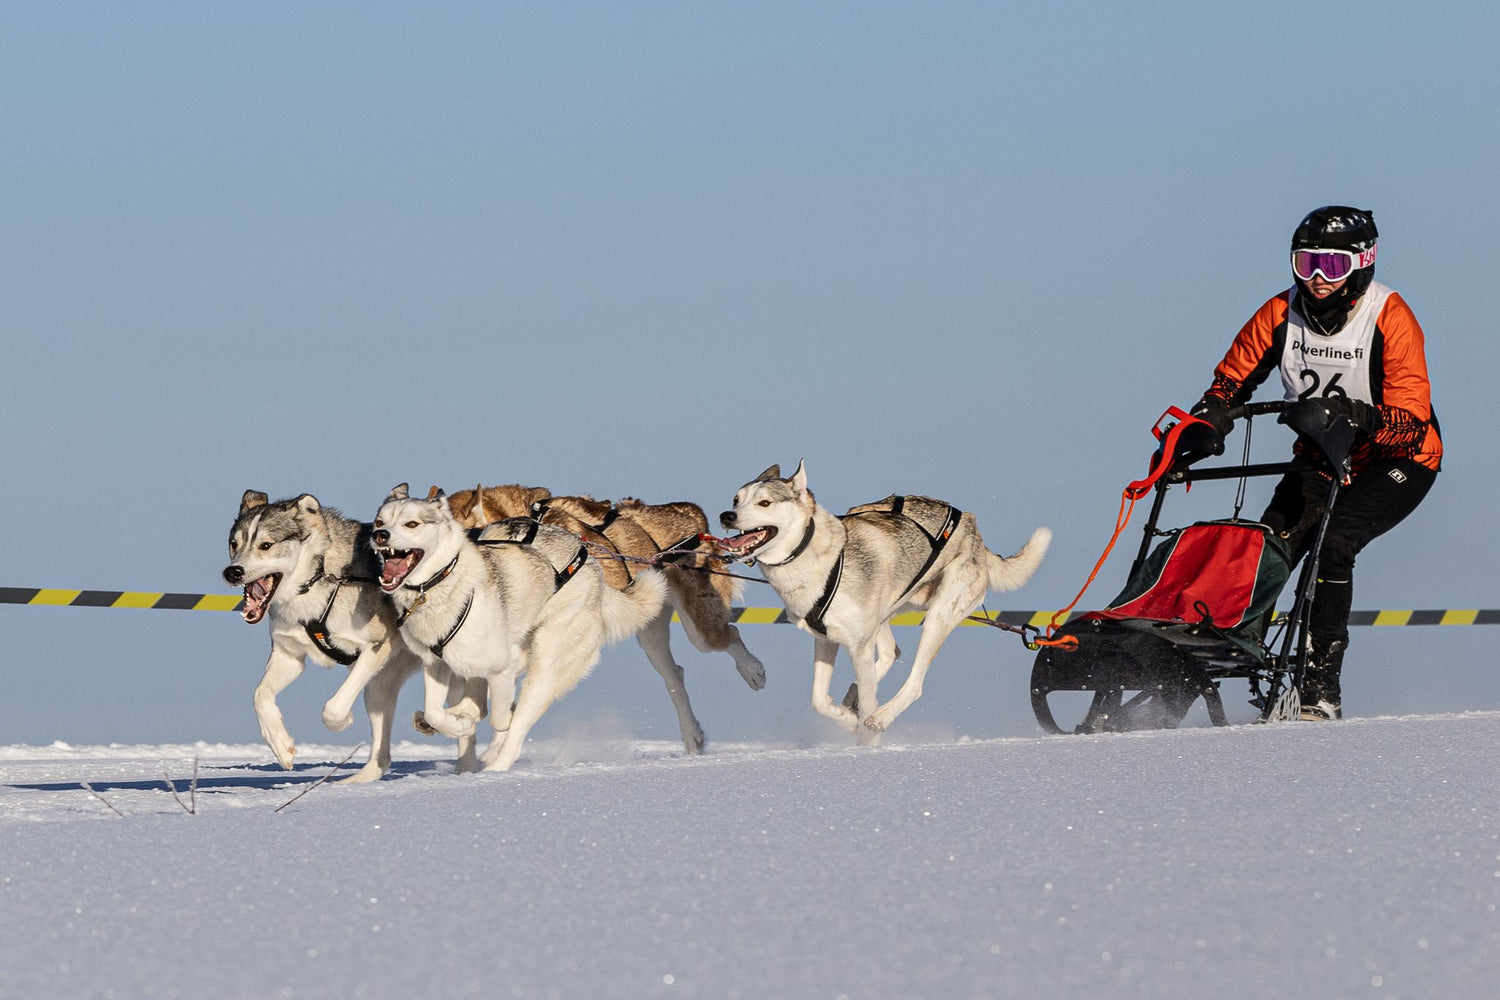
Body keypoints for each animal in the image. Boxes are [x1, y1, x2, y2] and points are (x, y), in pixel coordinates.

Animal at [217, 491, 471, 779]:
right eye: (234, 544)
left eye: (266, 545)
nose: (233, 572)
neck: (319, 577)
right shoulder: (289, 654)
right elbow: (260, 695)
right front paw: (280, 745)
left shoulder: (377, 646)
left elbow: (333, 707)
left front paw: (342, 720)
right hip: (379, 688)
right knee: (383, 753)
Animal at [372, 485, 666, 773]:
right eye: (380, 521)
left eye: (412, 524)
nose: (380, 535)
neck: (440, 585)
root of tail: (590, 563)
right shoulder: (437, 664)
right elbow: (437, 711)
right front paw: (455, 724)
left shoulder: (501, 668)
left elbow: (501, 720)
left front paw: (475, 729)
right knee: (475, 705)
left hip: (544, 666)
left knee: (514, 723)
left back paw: (495, 766)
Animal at [717, 464, 1050, 740]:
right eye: (736, 499)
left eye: (765, 503)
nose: (726, 516)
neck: (819, 562)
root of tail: (973, 529)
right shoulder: (826, 639)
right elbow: (818, 700)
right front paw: (845, 717)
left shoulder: (858, 646)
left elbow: (865, 700)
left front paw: (866, 740)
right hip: (884, 615)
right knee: (890, 653)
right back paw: (852, 701)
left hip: (938, 617)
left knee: (913, 683)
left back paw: (880, 716)